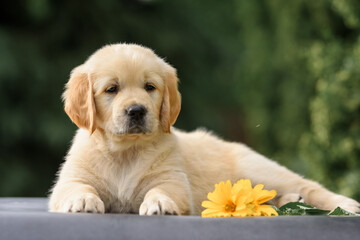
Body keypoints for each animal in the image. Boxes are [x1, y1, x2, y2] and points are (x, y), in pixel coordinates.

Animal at [48, 43, 360, 216]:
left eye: (150, 87)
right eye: (111, 89)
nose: (137, 111)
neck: (126, 151)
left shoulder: (173, 180)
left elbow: (161, 190)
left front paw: (159, 203)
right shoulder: (70, 179)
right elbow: (76, 187)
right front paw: (83, 199)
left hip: (258, 169)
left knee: (307, 185)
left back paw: (344, 203)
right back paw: (288, 200)